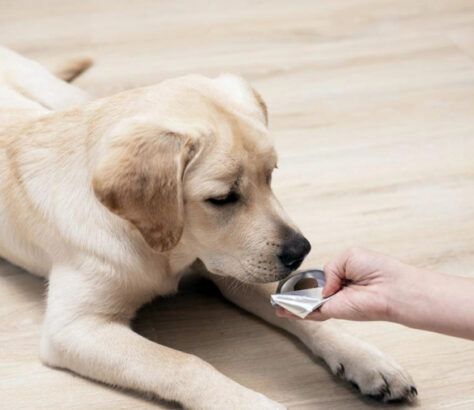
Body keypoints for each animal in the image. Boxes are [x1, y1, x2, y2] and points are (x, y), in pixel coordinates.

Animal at [0, 46, 414, 408]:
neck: (162, 247)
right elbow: (183, 363)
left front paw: (366, 358)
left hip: (58, 91)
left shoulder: (234, 267)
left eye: (271, 175)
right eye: (222, 198)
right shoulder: (75, 328)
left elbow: (310, 316)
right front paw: (251, 405)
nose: (301, 252)